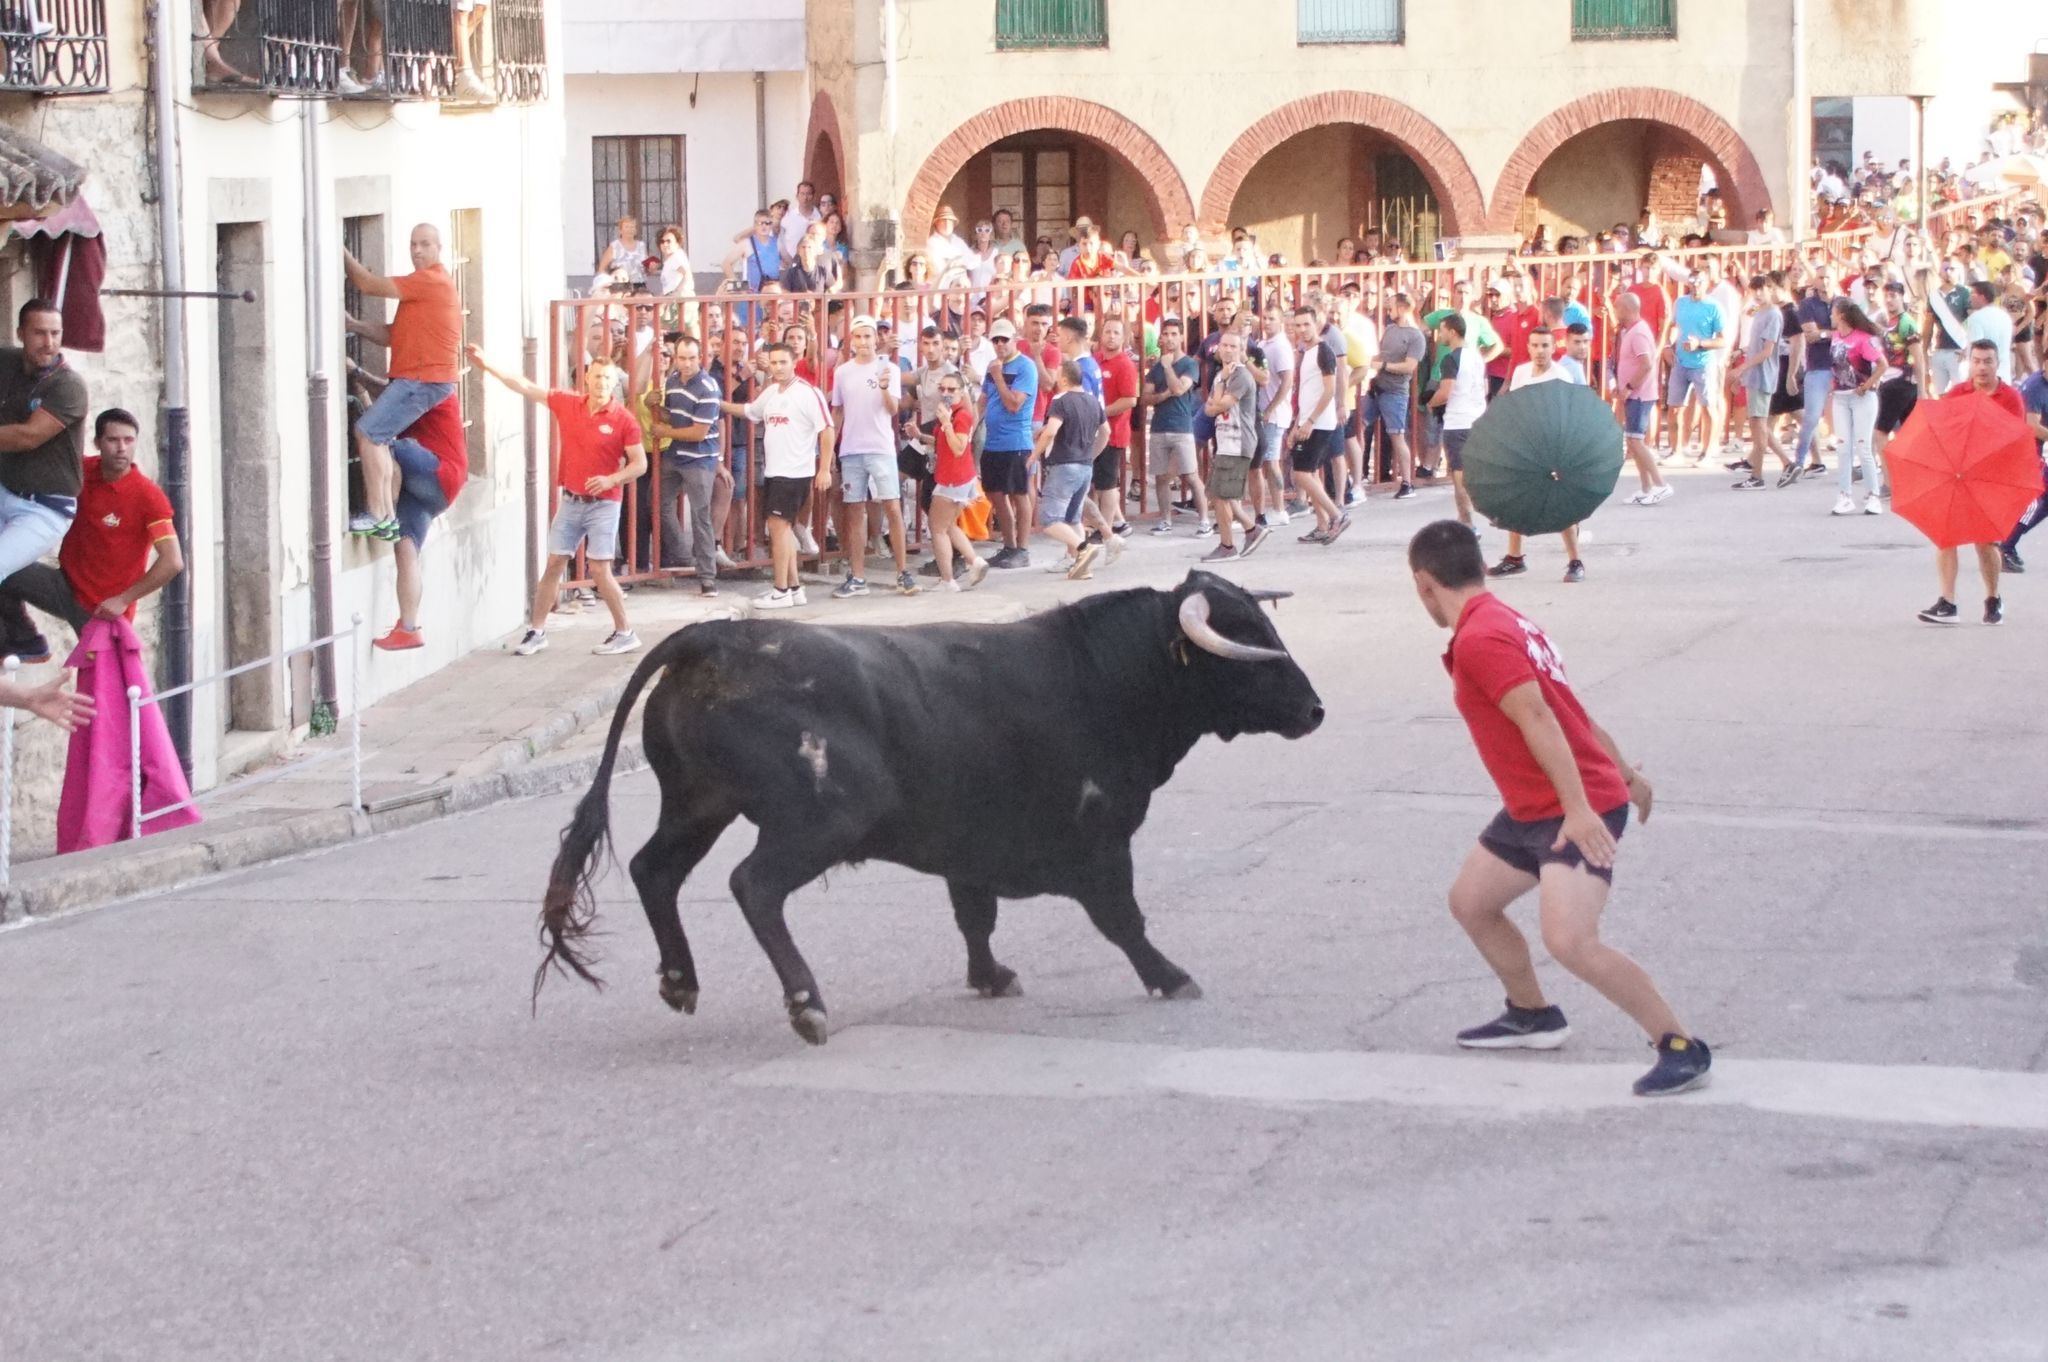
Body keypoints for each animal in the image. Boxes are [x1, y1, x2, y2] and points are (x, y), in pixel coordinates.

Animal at [536, 565, 1318, 1040]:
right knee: (753, 885)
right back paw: (806, 1004)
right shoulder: (1100, 840)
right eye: (1244, 638)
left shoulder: (969, 846)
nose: (1315, 710)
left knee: (655, 871)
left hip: (699, 803)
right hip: (820, 819)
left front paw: (991, 977)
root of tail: (717, 634)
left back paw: (680, 981)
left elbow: (975, 916)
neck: (1104, 674)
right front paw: (1170, 977)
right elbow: (1122, 918)